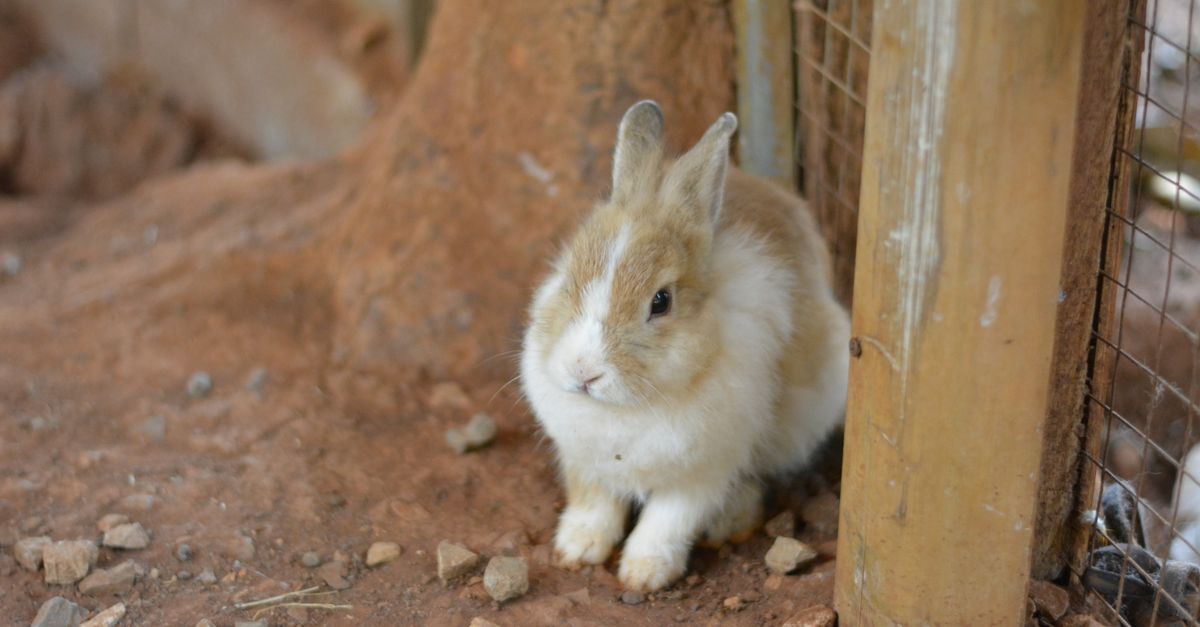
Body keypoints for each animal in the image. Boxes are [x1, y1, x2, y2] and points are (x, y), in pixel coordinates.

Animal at [520, 100, 850, 591]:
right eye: (570, 277)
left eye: (661, 301)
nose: (583, 372)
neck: (626, 410)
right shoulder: (586, 461)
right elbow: (594, 504)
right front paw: (577, 549)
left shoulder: (702, 470)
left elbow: (667, 520)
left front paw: (643, 573)